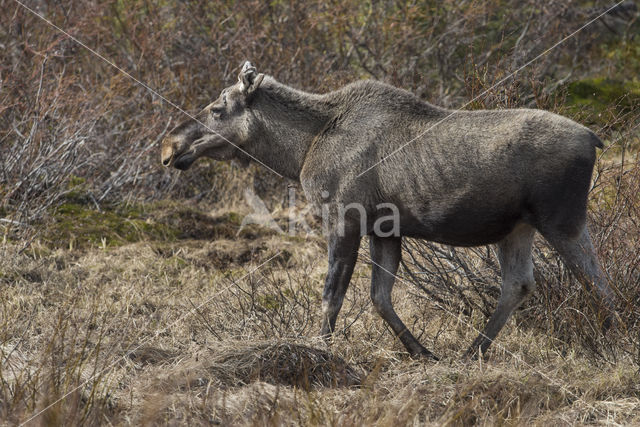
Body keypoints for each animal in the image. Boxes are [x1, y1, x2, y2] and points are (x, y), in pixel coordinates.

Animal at [161, 61, 616, 362]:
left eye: (217, 108)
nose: (169, 146)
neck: (299, 151)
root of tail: (594, 139)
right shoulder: (385, 230)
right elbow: (380, 297)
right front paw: (423, 352)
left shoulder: (344, 218)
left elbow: (332, 295)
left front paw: (319, 351)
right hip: (516, 228)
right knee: (518, 284)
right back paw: (472, 352)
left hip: (562, 219)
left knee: (597, 280)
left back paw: (614, 340)